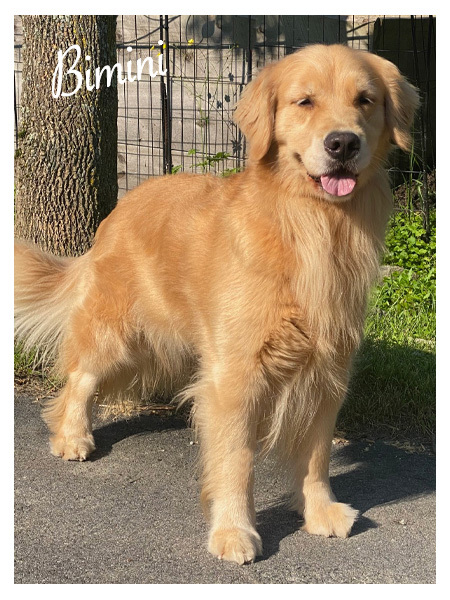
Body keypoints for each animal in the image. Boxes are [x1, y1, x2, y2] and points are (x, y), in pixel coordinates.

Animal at [14, 44, 419, 564]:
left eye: (365, 100)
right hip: (116, 331)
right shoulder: (235, 375)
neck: (310, 227)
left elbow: (316, 454)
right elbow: (235, 460)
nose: (343, 144)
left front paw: (318, 511)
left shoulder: (328, 369)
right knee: (79, 379)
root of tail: (120, 207)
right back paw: (72, 435)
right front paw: (233, 530)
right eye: (304, 101)